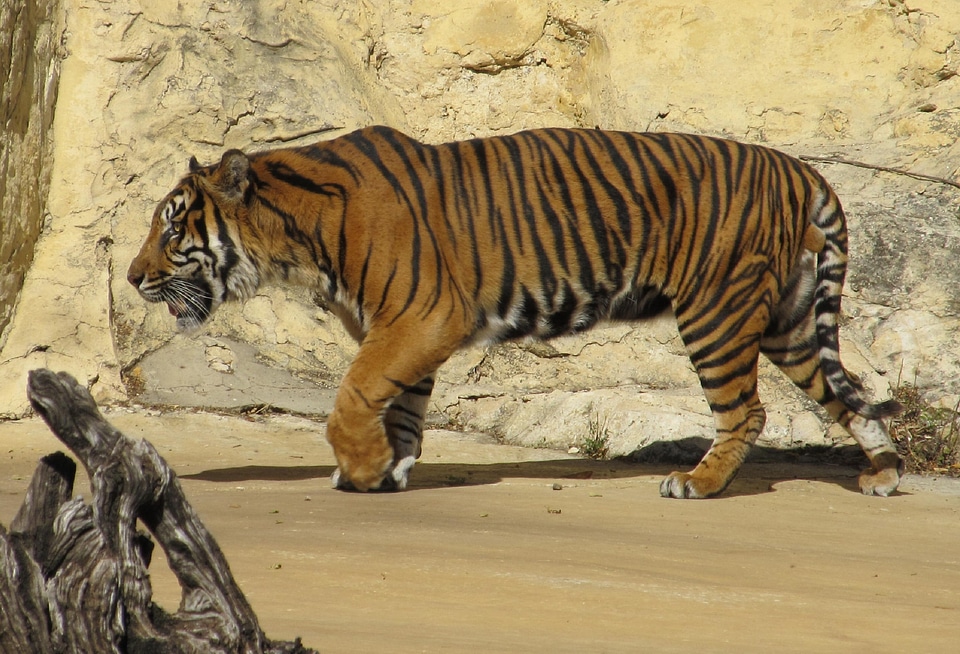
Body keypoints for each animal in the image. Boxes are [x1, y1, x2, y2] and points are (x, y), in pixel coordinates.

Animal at [125, 125, 900, 500]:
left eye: (172, 227)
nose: (132, 278)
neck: (294, 239)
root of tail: (799, 168)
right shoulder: (405, 331)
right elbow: (399, 408)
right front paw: (387, 470)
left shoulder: (420, 318)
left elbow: (351, 396)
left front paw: (362, 468)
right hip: (788, 321)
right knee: (850, 395)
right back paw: (885, 474)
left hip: (717, 312)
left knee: (747, 411)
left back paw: (697, 484)